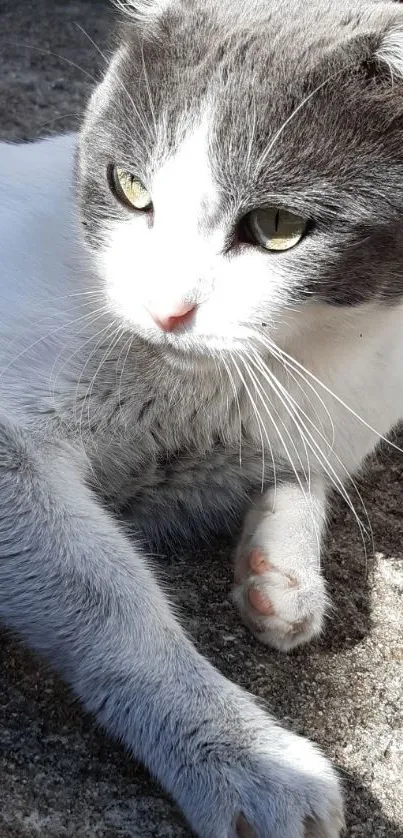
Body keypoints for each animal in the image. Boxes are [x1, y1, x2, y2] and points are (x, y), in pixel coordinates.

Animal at [2, 0, 403, 832]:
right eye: (129, 188)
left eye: (277, 226)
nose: (166, 310)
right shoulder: (13, 446)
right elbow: (107, 593)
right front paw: (250, 762)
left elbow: (302, 480)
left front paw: (282, 578)